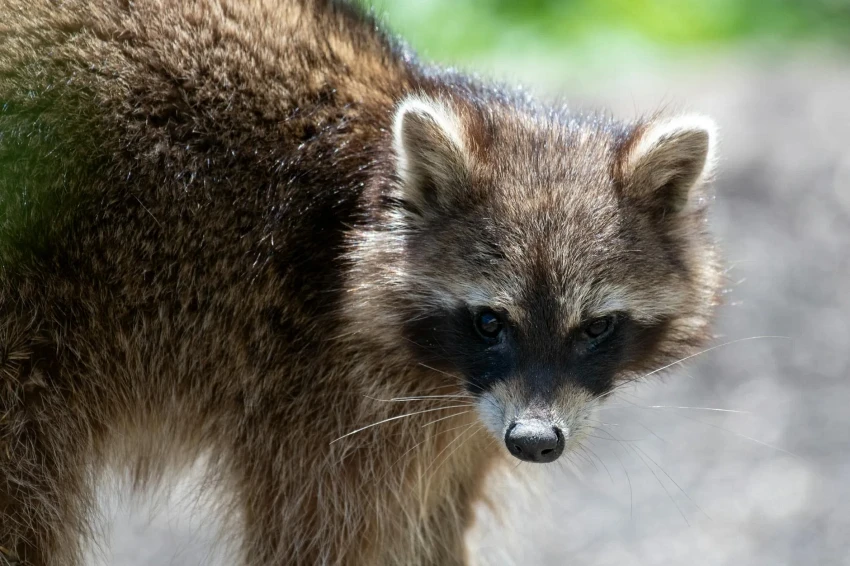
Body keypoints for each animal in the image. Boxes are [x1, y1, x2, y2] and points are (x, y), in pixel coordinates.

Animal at [0, 0, 722, 565]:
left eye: (596, 328)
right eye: (490, 321)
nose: (536, 443)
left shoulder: (463, 428)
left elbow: (430, 530)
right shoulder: (314, 391)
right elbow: (319, 539)